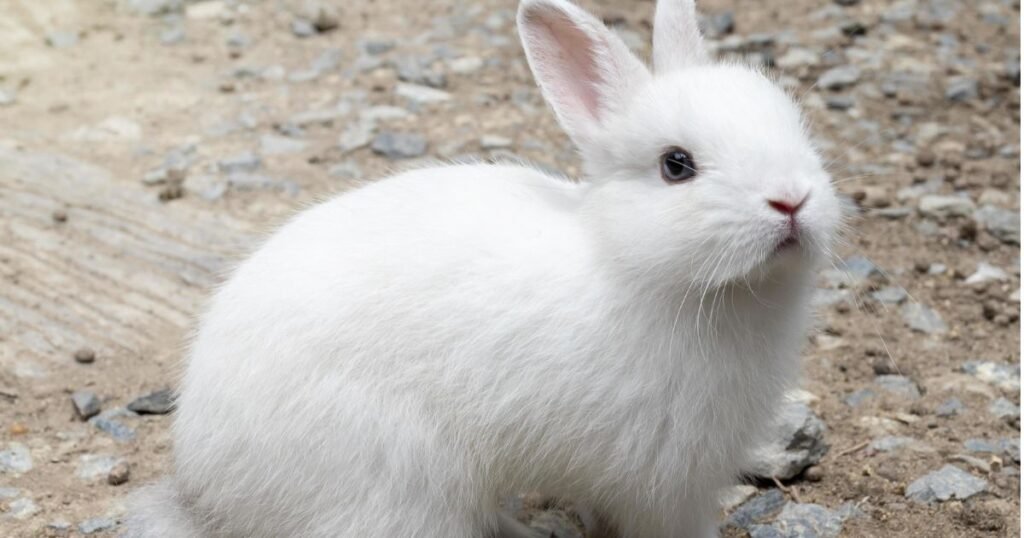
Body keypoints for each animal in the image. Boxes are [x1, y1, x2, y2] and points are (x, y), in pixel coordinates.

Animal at [127, 0, 843, 536]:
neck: (632, 265)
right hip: (399, 489)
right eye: (676, 165)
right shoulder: (664, 482)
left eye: (795, 124)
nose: (791, 200)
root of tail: (208, 481)